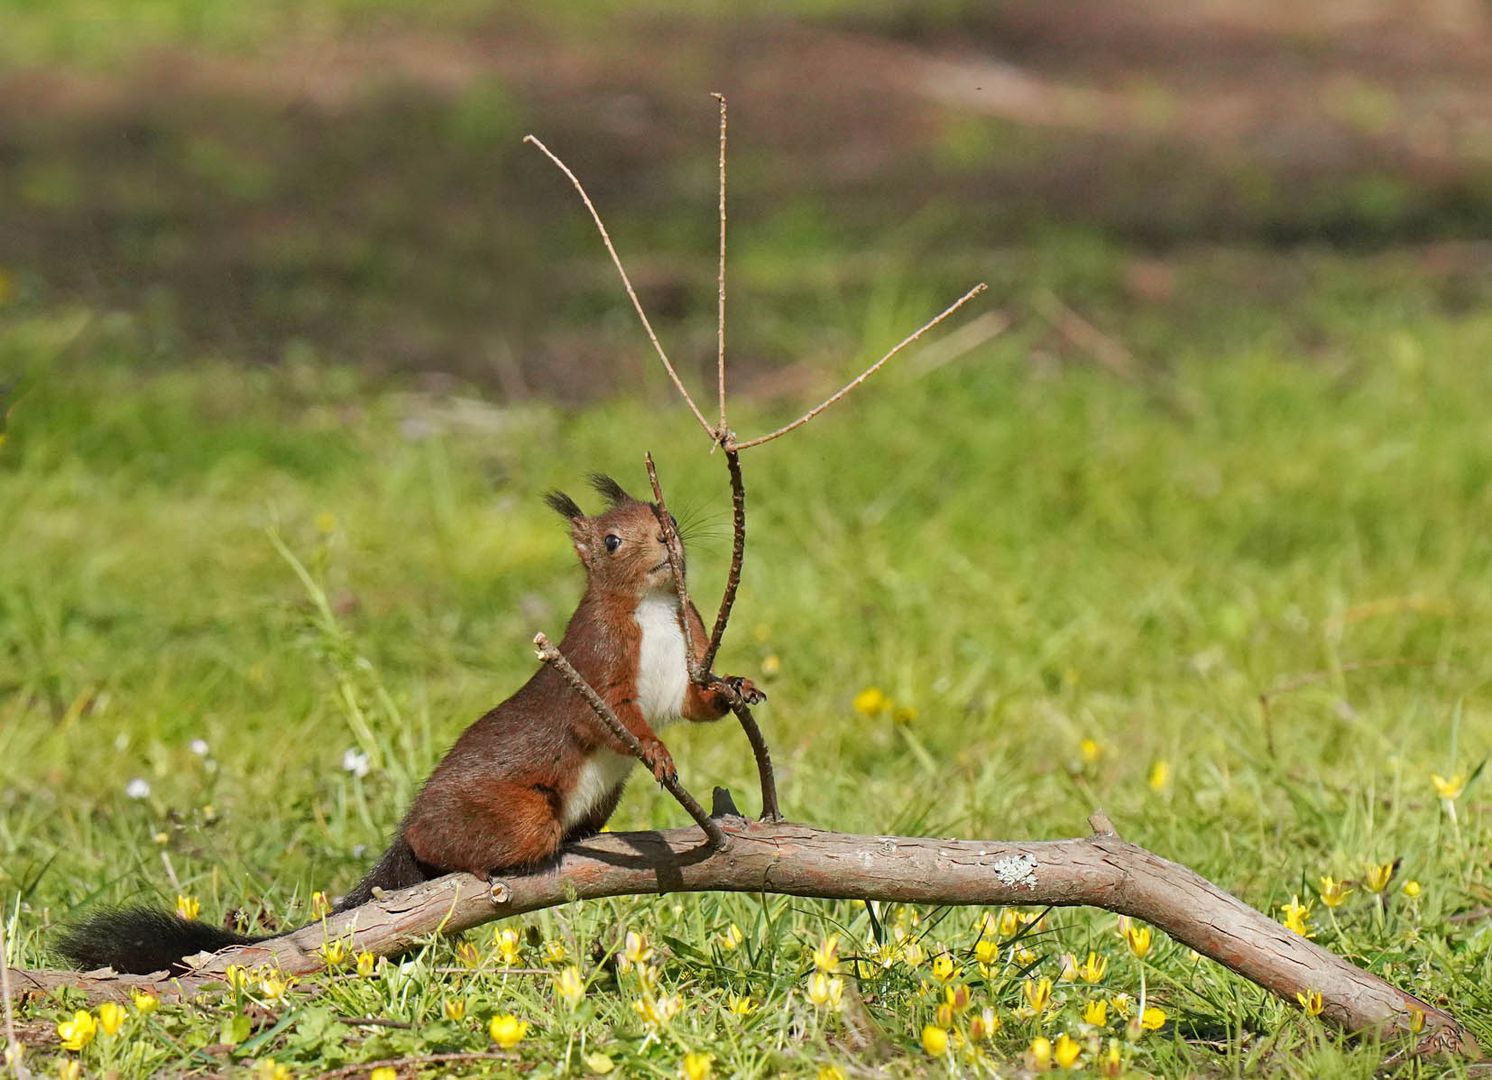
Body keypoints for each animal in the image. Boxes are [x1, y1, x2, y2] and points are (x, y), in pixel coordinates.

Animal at [58, 477, 757, 972]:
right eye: (613, 541)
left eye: (666, 515)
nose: (668, 541)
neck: (654, 606)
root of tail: (412, 819)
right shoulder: (598, 666)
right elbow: (611, 722)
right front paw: (656, 752)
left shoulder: (688, 646)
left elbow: (695, 704)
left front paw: (737, 689)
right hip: (513, 815)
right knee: (450, 840)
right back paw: (477, 866)